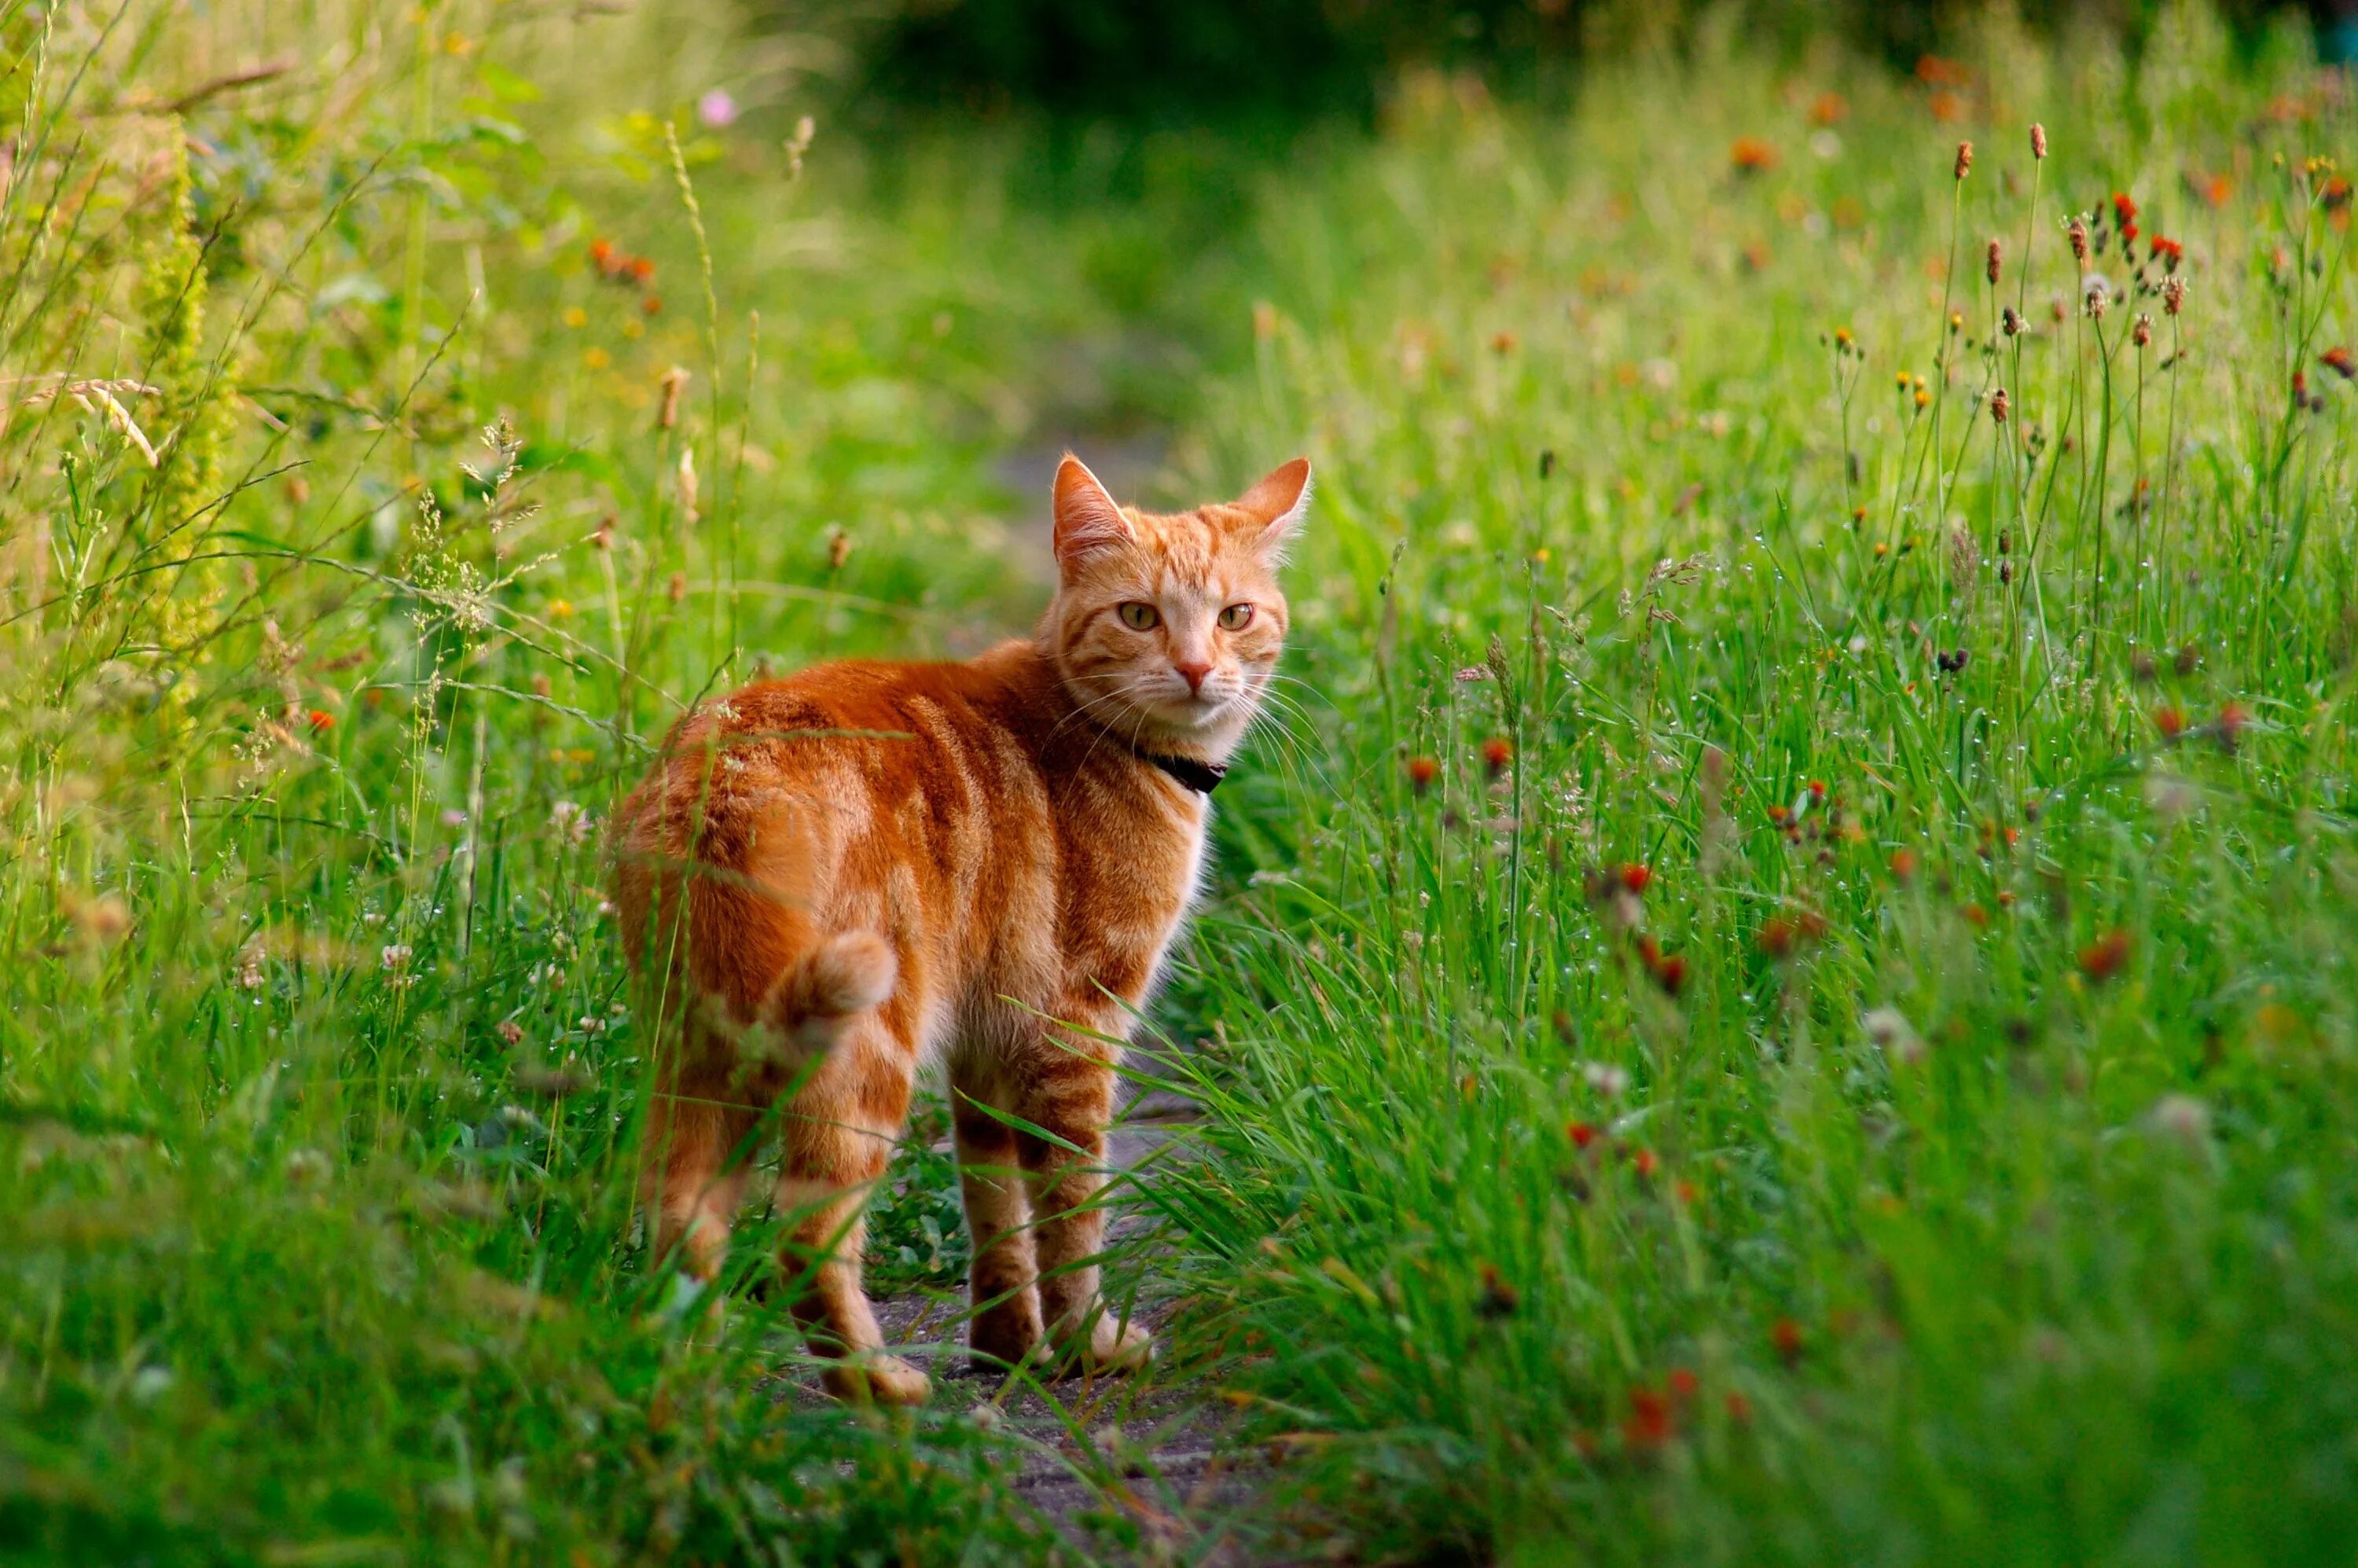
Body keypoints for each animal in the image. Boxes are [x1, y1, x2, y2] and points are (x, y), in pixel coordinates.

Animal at [613, 450, 1311, 1396]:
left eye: (1235, 616)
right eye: (1139, 615)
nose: (1200, 669)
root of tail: (722, 782)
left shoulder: (988, 1038)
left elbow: (995, 1203)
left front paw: (1008, 1343)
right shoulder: (1077, 1027)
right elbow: (1072, 1213)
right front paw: (1088, 1342)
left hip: (696, 1059)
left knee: (680, 1218)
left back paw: (689, 1376)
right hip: (866, 1052)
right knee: (804, 1236)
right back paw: (877, 1384)